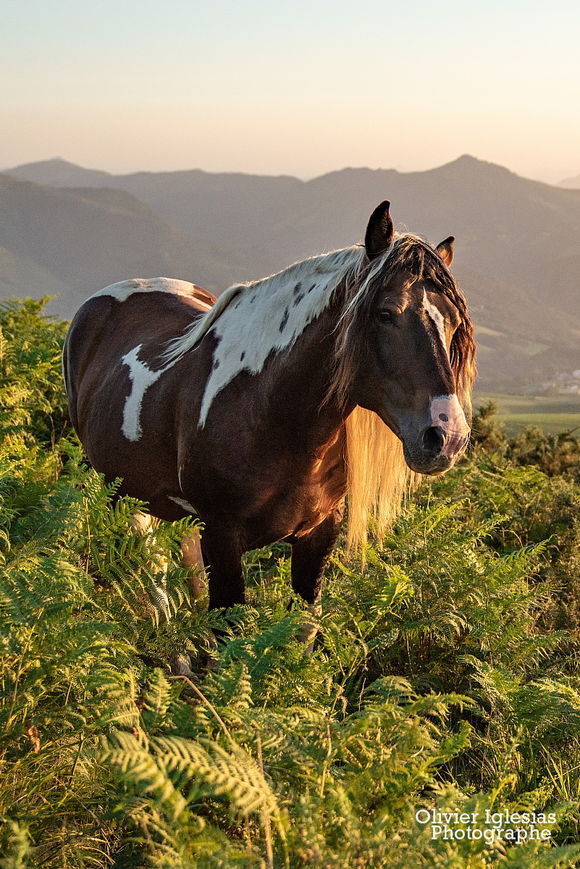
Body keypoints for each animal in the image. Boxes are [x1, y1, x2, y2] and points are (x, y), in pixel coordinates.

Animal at [63, 202, 476, 624]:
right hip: (120, 494)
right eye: (386, 314)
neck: (269, 414)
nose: (447, 436)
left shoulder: (318, 533)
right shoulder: (222, 536)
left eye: (454, 322)